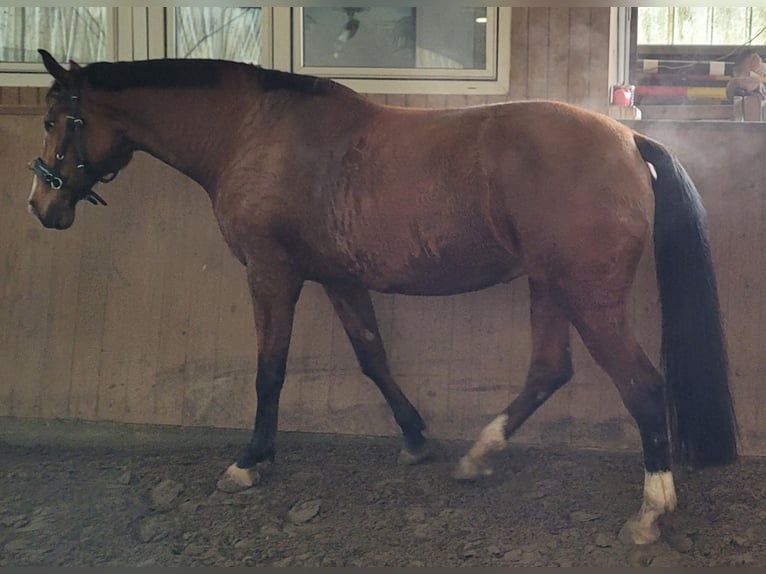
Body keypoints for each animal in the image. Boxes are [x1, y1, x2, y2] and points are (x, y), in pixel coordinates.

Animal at [27, 48, 740, 544]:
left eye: (58, 120)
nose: (41, 205)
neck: (253, 133)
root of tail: (629, 140)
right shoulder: (340, 280)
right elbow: (373, 358)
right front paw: (417, 438)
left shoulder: (271, 274)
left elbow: (269, 371)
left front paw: (250, 462)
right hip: (549, 288)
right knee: (548, 370)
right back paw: (478, 456)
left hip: (589, 299)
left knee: (642, 386)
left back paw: (649, 514)